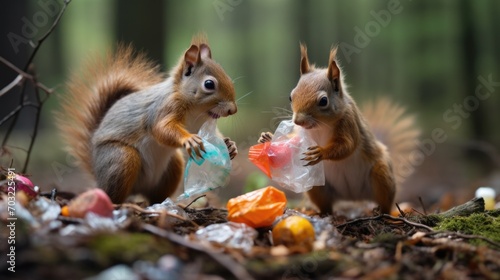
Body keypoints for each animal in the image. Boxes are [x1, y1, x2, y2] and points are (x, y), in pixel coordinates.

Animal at [57, 34, 237, 203]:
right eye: (209, 84)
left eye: (228, 77)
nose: (233, 110)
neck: (196, 111)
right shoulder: (163, 109)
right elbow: (161, 128)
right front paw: (189, 139)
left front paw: (229, 145)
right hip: (121, 158)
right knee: (112, 192)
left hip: (173, 166)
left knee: (154, 196)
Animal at [260, 44, 420, 214]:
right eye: (291, 96)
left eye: (323, 101)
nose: (298, 121)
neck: (319, 127)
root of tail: (353, 198)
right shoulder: (301, 134)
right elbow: (291, 144)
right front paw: (268, 138)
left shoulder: (349, 122)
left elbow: (347, 145)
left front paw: (321, 152)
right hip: (318, 185)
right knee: (326, 205)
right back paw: (321, 213)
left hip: (382, 174)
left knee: (386, 202)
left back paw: (383, 212)